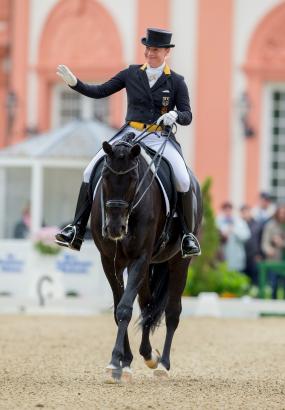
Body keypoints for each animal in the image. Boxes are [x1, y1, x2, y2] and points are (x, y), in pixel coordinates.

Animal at [90, 138, 201, 382]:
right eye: (105, 176)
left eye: (133, 179)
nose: (115, 228)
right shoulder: (109, 262)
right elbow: (119, 309)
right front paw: (124, 364)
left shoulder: (139, 258)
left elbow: (124, 309)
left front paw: (115, 361)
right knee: (147, 304)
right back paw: (148, 355)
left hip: (179, 262)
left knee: (172, 312)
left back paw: (163, 364)